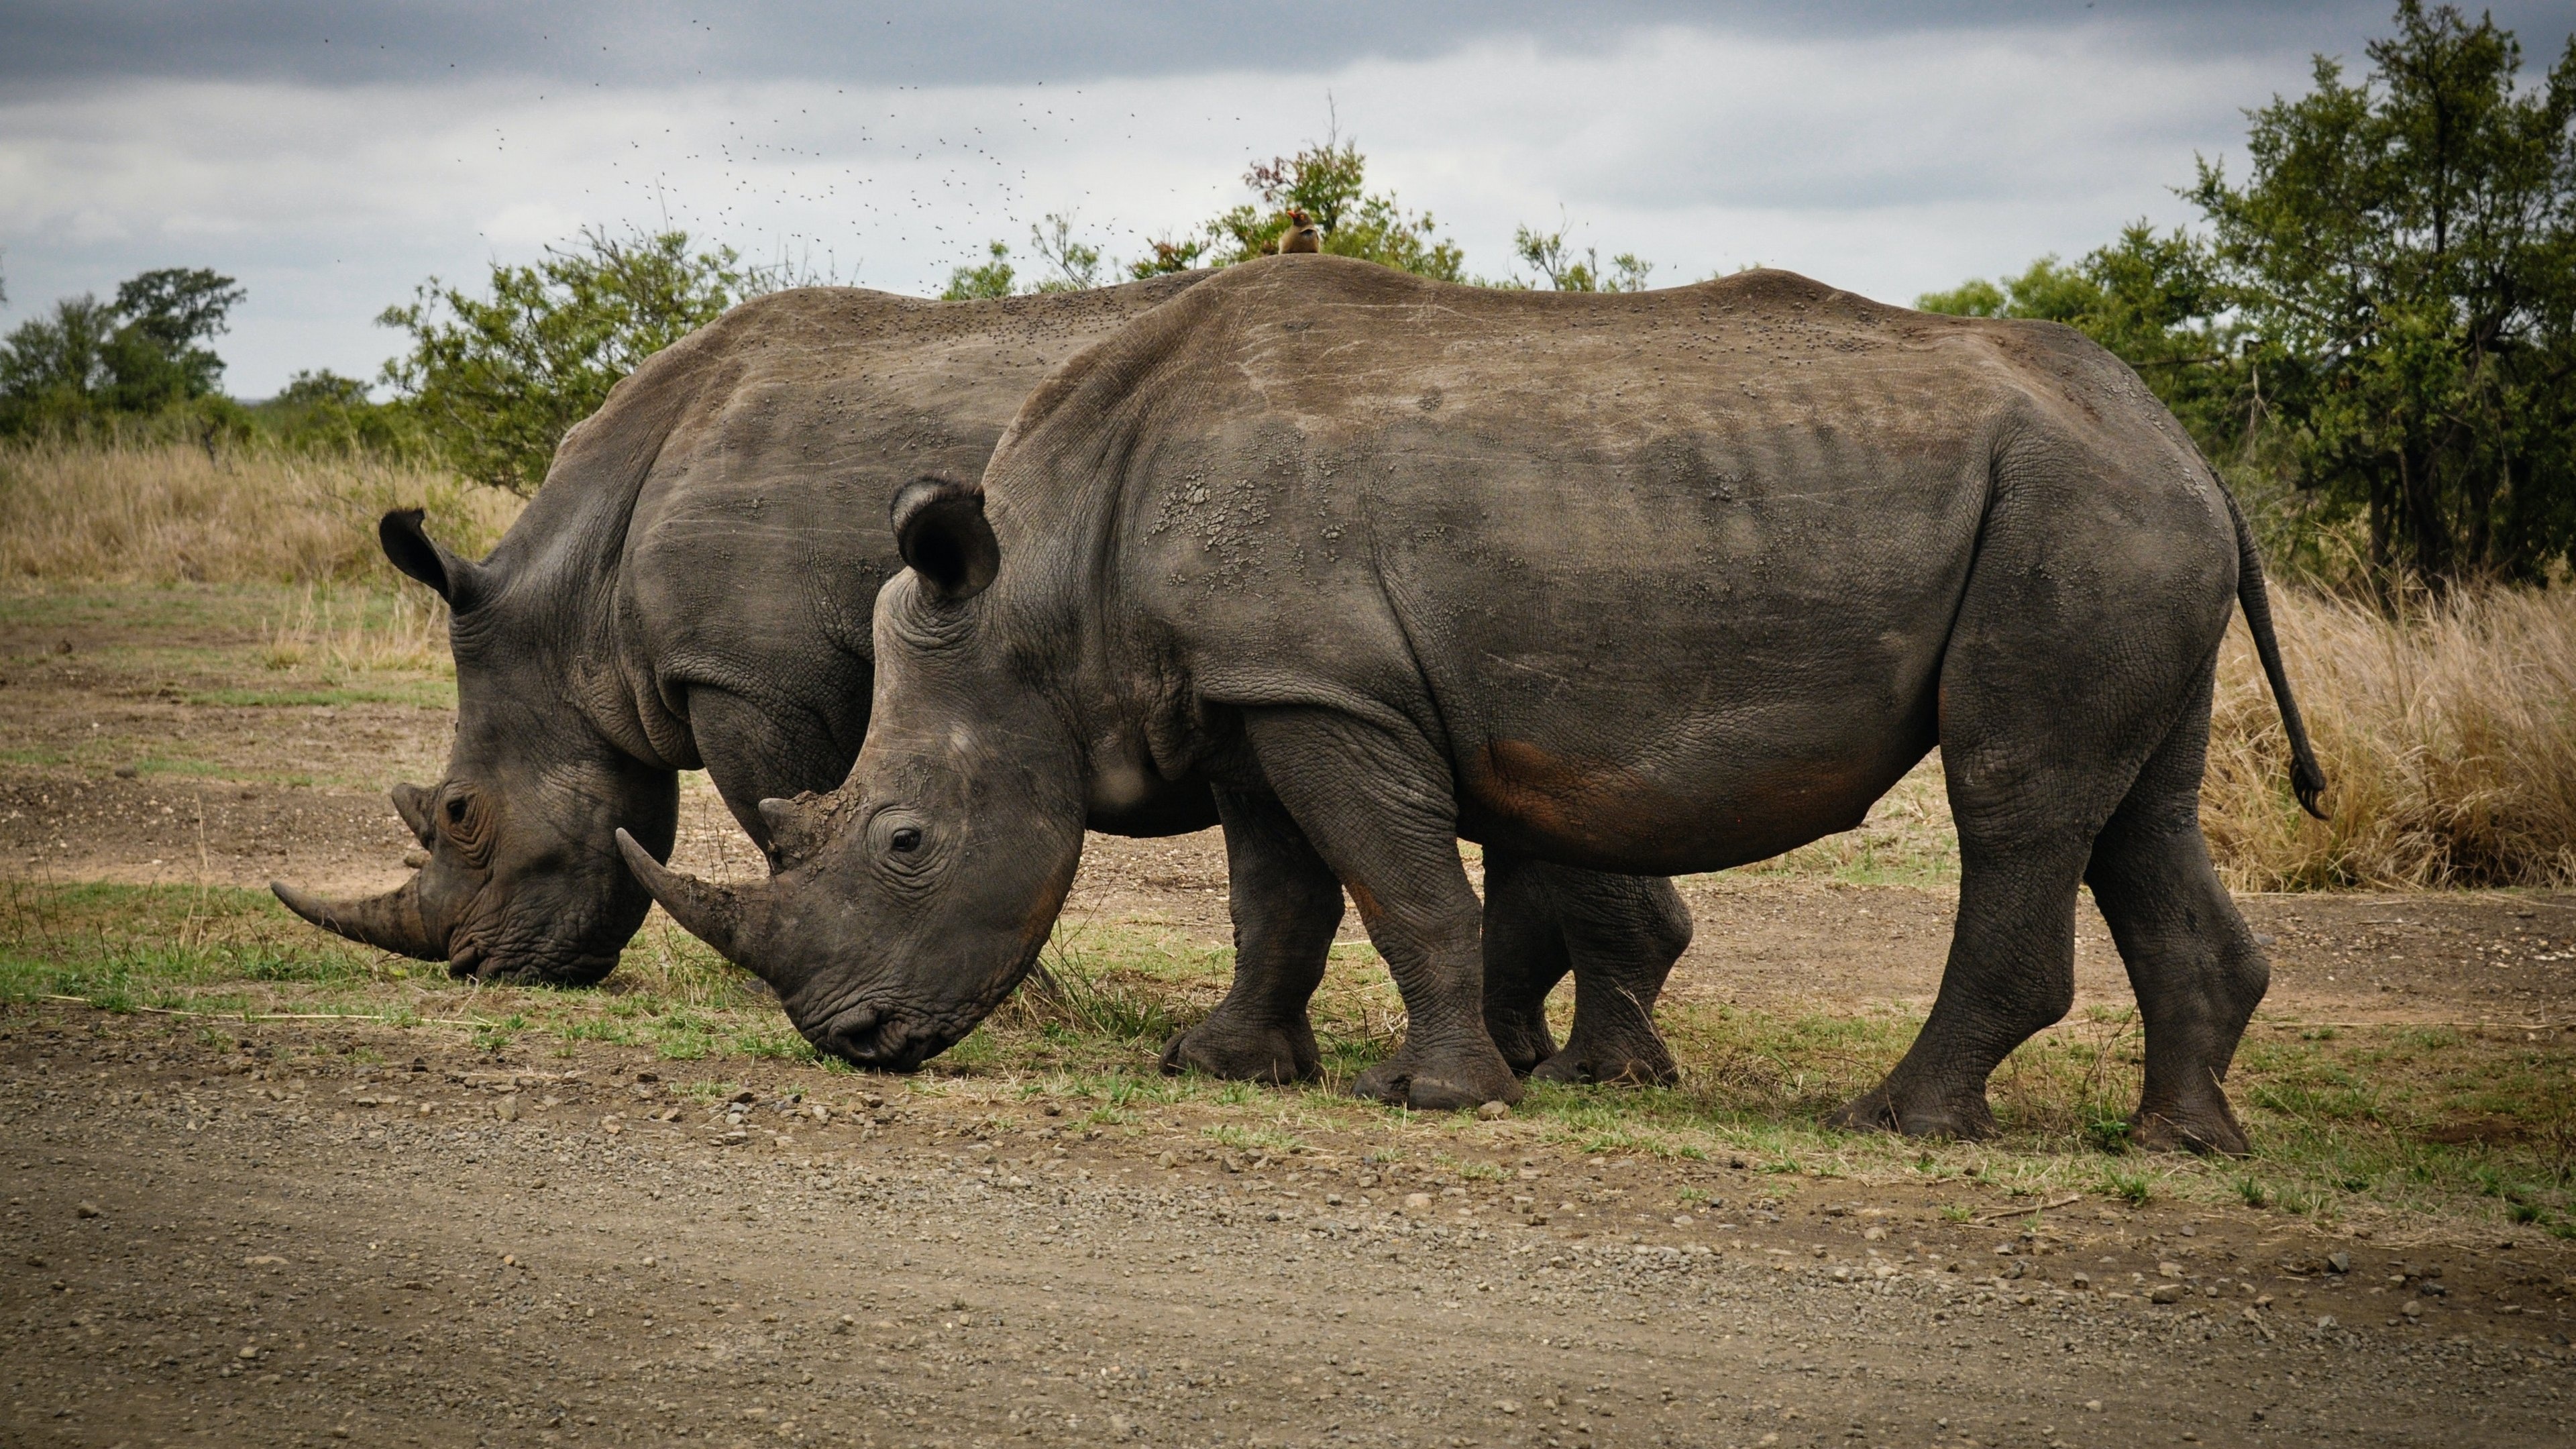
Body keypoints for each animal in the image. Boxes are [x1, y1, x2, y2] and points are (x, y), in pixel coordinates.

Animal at [282, 270, 1690, 1083]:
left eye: (460, 815)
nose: (474, 966)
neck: (577, 598)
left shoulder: (749, 679)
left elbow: (787, 814)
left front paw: (1026, 1004)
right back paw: (1550, 1054)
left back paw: (1569, 1061)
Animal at [628, 256, 2339, 1139]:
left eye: (905, 841)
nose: (851, 1038)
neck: (1043, 592)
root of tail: (2189, 448)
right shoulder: (1257, 687)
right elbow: (1277, 893)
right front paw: (1223, 1064)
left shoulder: (1327, 691)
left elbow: (1393, 884)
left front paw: (1436, 1097)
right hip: (2115, 521)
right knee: (2133, 808)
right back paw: (2180, 1138)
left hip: (2076, 520)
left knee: (2015, 799)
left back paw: (1898, 1121)